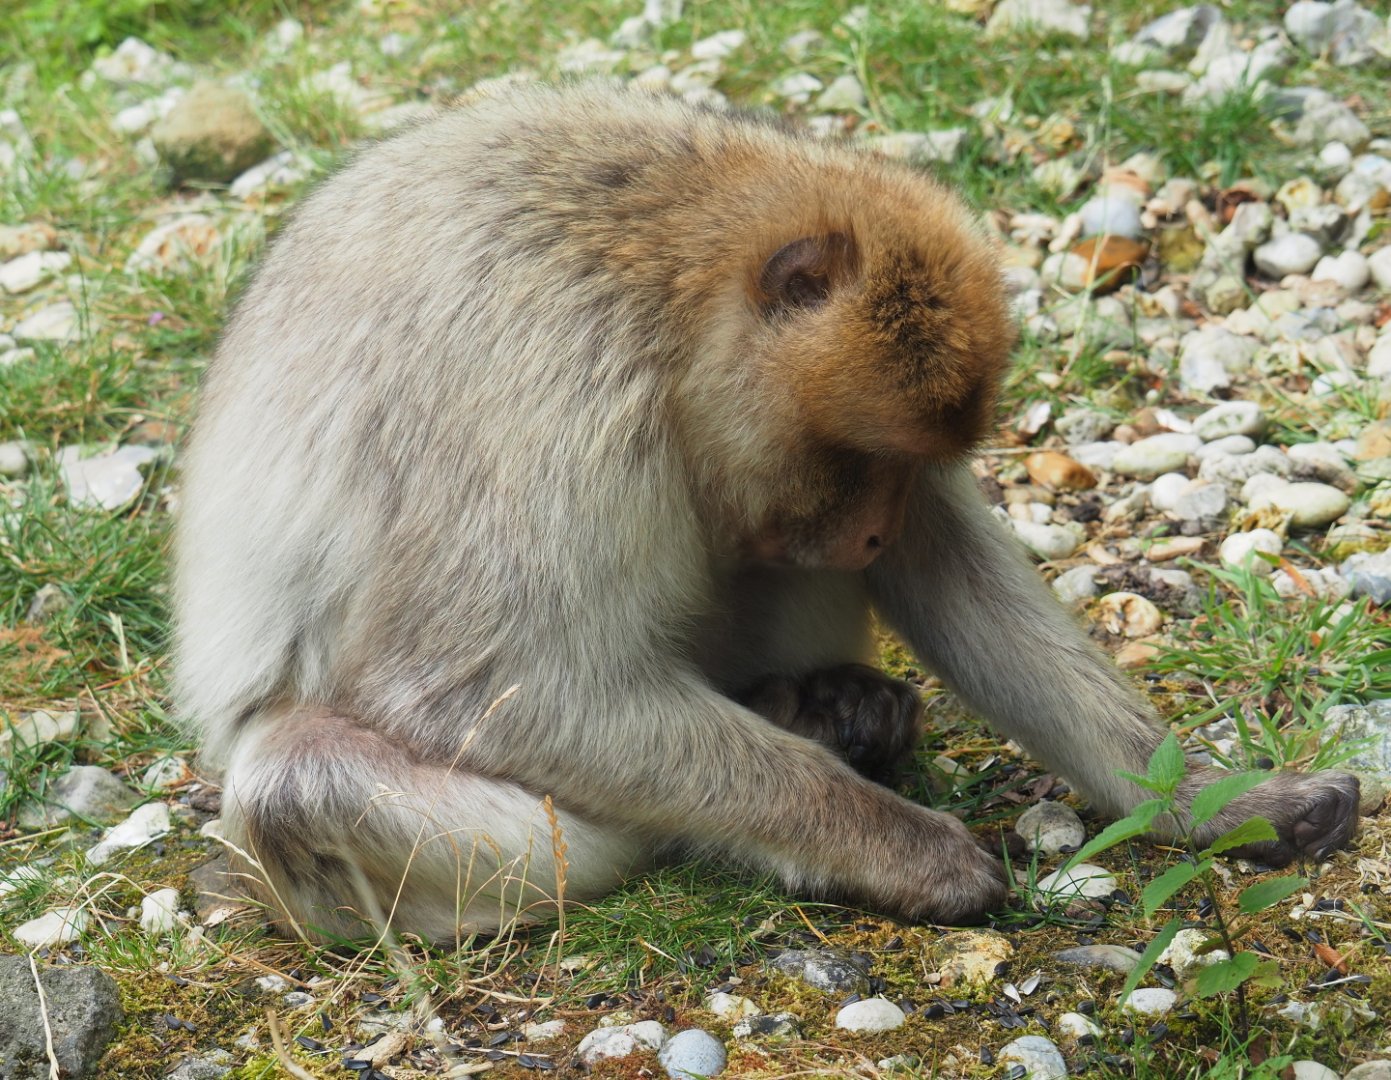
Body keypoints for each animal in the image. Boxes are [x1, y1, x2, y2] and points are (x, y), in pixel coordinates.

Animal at [174, 81, 1359, 944]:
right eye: (863, 459)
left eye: (907, 469)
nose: (871, 528)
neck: (668, 290)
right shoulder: (553, 384)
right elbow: (468, 686)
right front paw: (890, 844)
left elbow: (943, 568)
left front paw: (1208, 799)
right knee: (292, 781)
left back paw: (823, 704)